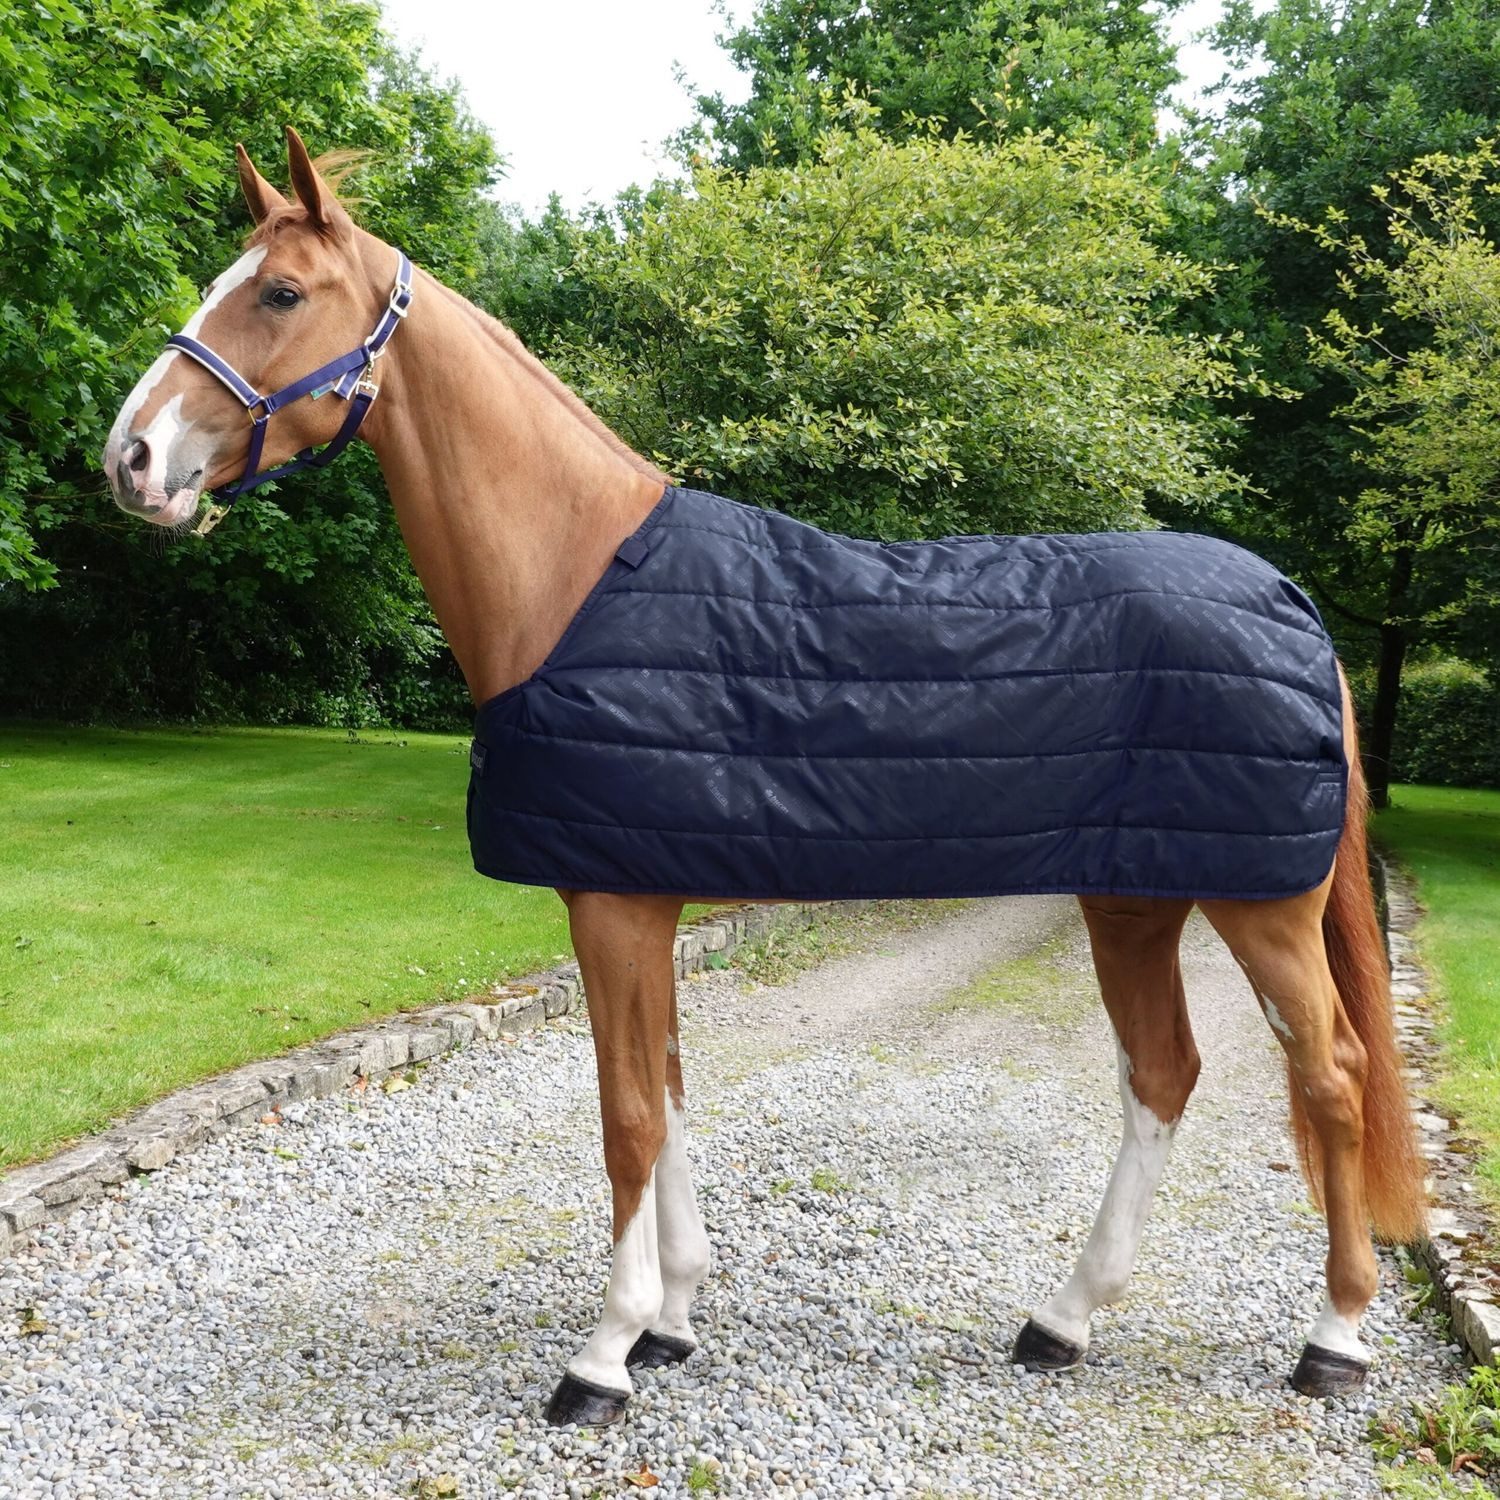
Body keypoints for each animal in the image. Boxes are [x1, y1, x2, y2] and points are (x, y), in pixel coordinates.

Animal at [100, 129, 1424, 1427]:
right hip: (1136, 901)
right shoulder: (644, 895)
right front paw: (674, 1318)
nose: (131, 457)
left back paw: (1334, 1339)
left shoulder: (614, 907)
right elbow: (670, 1092)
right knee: (1164, 1073)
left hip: (1263, 909)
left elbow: (628, 1116)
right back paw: (1065, 1320)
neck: (578, 577)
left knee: (1333, 1077)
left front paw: (604, 1353)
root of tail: (1290, 601)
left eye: (277, 292)